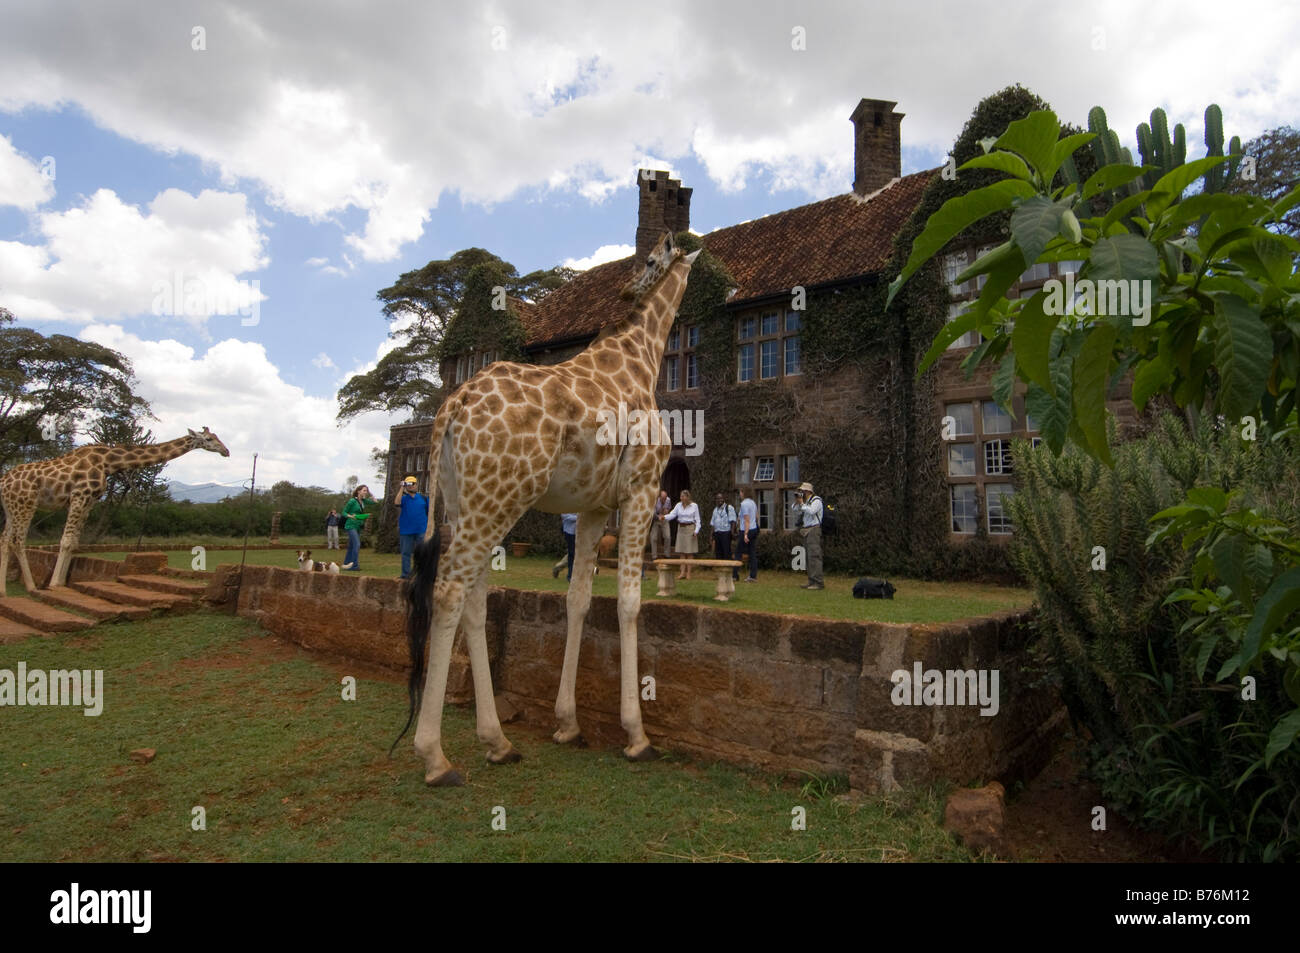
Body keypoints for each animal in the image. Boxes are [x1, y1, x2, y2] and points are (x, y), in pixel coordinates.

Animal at [0, 431, 231, 595]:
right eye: (209, 439)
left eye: (217, 436)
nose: (226, 451)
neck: (109, 461)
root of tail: (3, 482)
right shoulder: (79, 495)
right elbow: (65, 541)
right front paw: (55, 584)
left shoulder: (90, 500)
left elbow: (73, 542)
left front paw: (63, 582)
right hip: (26, 503)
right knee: (17, 541)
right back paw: (31, 586)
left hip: (11, 507)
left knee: (4, 539)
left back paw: (3, 591)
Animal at [395, 234, 702, 785]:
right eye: (649, 258)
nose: (628, 290)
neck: (641, 357)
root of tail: (453, 407)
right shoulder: (642, 489)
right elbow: (628, 603)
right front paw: (637, 735)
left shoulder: (595, 508)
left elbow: (578, 599)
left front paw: (568, 724)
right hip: (500, 496)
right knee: (450, 590)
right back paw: (435, 758)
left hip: (469, 500)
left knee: (474, 598)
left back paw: (498, 742)